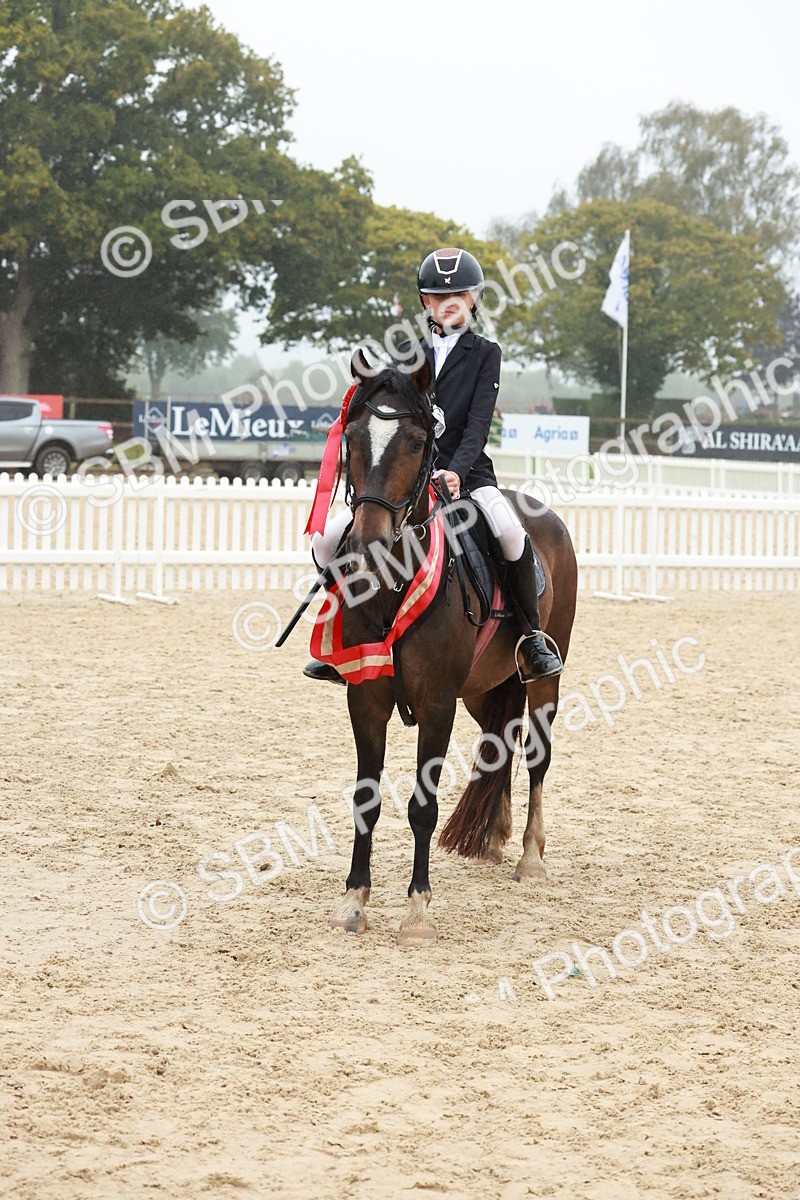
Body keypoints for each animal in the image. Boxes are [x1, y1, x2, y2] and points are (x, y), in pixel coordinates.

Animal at [322, 348, 578, 944]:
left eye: (419, 442)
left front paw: (417, 912)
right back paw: (494, 837)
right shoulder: (365, 698)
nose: (367, 544)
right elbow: (364, 798)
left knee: (537, 753)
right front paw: (354, 901)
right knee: (501, 739)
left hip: (545, 679)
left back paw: (530, 857)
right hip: (483, 689)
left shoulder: (437, 703)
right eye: (353, 439)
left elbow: (422, 806)